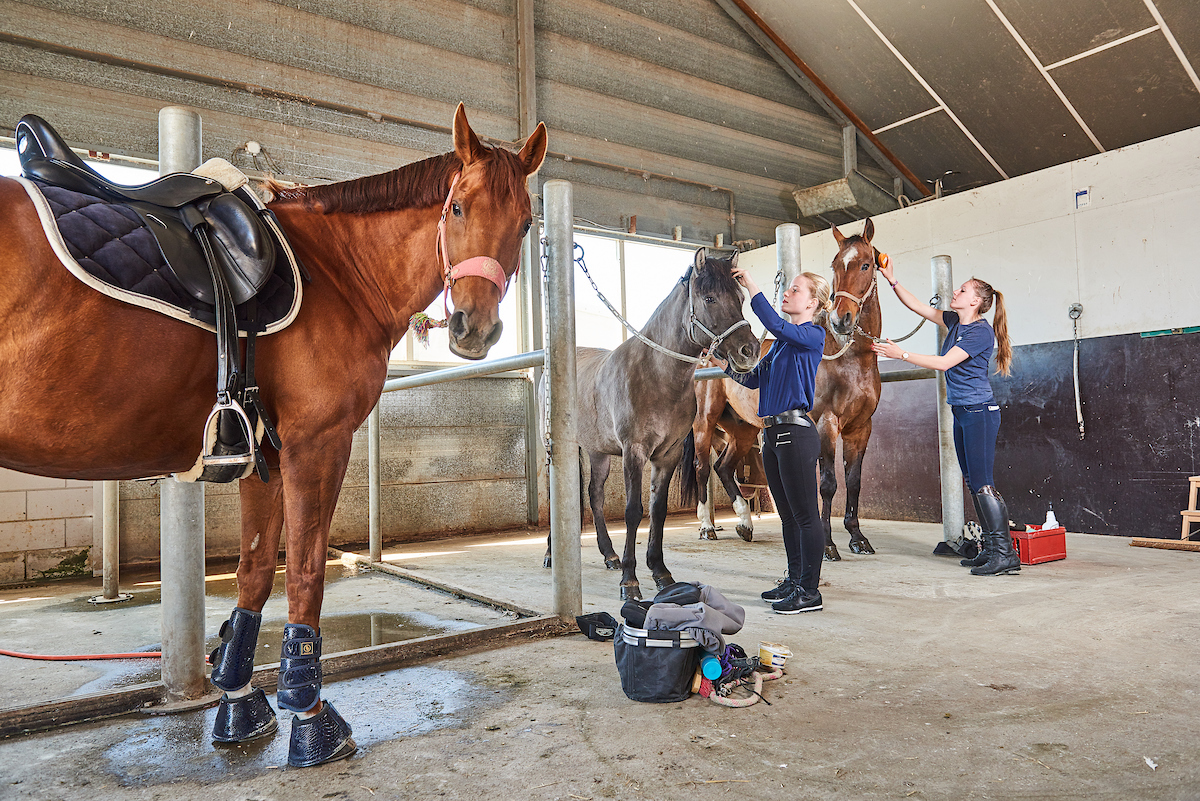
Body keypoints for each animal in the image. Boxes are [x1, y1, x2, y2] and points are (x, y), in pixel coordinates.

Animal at [0, 104, 546, 767]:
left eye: (525, 224)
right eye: (459, 208)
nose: (474, 329)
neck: (335, 271)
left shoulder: (264, 451)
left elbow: (256, 570)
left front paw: (238, 703)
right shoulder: (319, 443)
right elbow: (306, 569)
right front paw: (311, 717)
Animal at [541, 248, 760, 600]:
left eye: (741, 298)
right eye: (710, 298)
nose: (749, 351)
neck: (656, 374)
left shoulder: (667, 455)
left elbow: (658, 511)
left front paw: (660, 573)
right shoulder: (635, 452)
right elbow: (633, 511)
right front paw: (630, 583)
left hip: (599, 452)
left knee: (595, 495)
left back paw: (609, 555)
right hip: (558, 449)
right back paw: (551, 554)